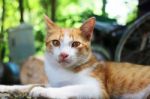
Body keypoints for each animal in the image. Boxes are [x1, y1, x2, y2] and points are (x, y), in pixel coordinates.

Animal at [0, 16, 150, 98]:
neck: (61, 71)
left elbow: (68, 87)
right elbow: (28, 84)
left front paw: (42, 91)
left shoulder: (97, 90)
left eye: (75, 44)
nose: (63, 54)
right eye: (56, 42)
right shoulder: (53, 82)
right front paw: (5, 87)